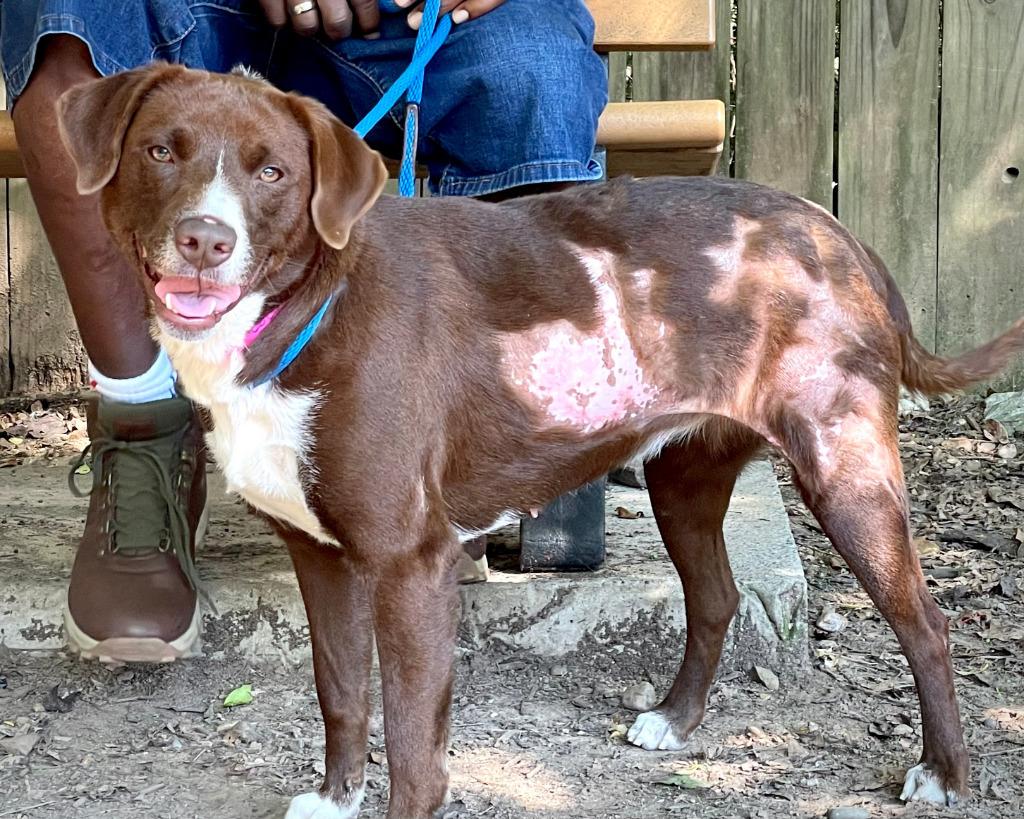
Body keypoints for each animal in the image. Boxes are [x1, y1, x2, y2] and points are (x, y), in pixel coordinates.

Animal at [54, 65, 1024, 818]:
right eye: (161, 151)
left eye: (272, 172)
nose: (204, 239)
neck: (310, 306)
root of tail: (840, 236)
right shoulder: (319, 553)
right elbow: (340, 692)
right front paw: (335, 797)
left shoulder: (410, 564)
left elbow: (414, 743)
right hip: (685, 474)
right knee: (715, 596)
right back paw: (675, 720)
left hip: (845, 466)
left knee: (927, 622)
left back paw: (944, 772)